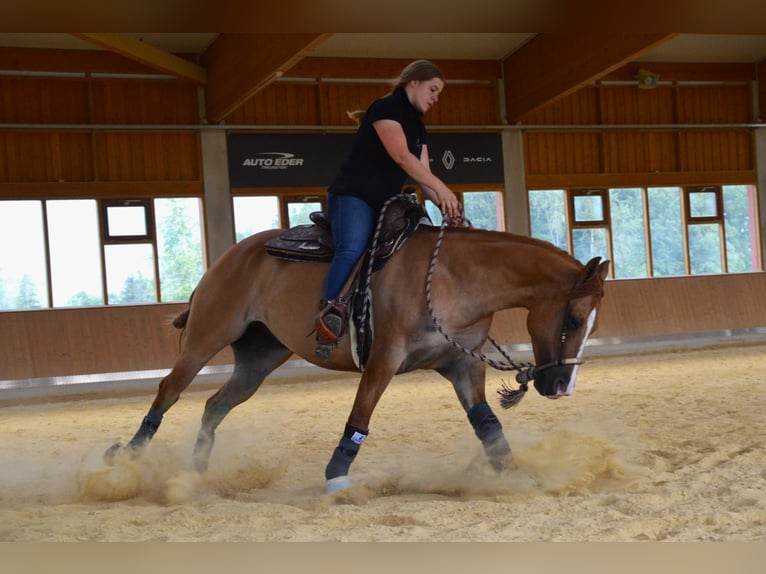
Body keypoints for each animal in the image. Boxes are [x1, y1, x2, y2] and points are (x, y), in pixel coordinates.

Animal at [106, 225, 612, 496]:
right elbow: (361, 415)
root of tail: (229, 257)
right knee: (169, 391)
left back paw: (196, 471)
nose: (560, 386)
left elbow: (490, 429)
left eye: (591, 324)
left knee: (215, 405)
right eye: (572, 318)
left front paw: (515, 476)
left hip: (259, 357)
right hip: (205, 337)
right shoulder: (383, 359)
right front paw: (336, 477)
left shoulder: (463, 367)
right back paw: (126, 456)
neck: (454, 278)